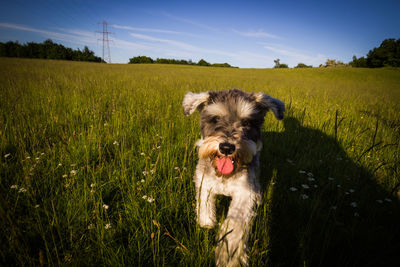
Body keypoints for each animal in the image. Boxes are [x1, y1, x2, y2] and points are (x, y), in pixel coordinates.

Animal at [183, 89, 286, 266]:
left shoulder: (244, 192)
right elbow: (204, 204)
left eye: (247, 122)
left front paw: (229, 254)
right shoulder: (204, 182)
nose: (226, 147)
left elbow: (234, 222)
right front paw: (206, 222)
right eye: (215, 118)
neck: (225, 175)